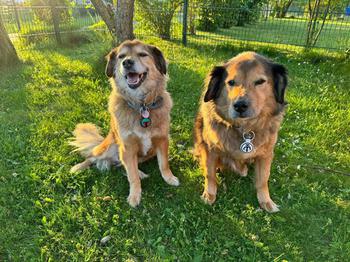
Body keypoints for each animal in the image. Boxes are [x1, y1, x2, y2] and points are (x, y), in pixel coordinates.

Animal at [69, 39, 179, 207]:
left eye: (142, 54)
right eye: (121, 56)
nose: (127, 62)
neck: (142, 105)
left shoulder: (162, 140)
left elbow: (163, 164)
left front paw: (169, 178)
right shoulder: (127, 146)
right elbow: (131, 175)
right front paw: (135, 196)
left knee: (122, 164)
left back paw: (140, 173)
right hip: (111, 147)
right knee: (94, 157)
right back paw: (78, 167)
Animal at [193, 51, 288, 213]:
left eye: (260, 81)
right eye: (231, 82)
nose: (240, 106)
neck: (245, 129)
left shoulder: (266, 153)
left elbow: (263, 179)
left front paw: (266, 201)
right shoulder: (210, 148)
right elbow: (209, 174)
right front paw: (209, 194)